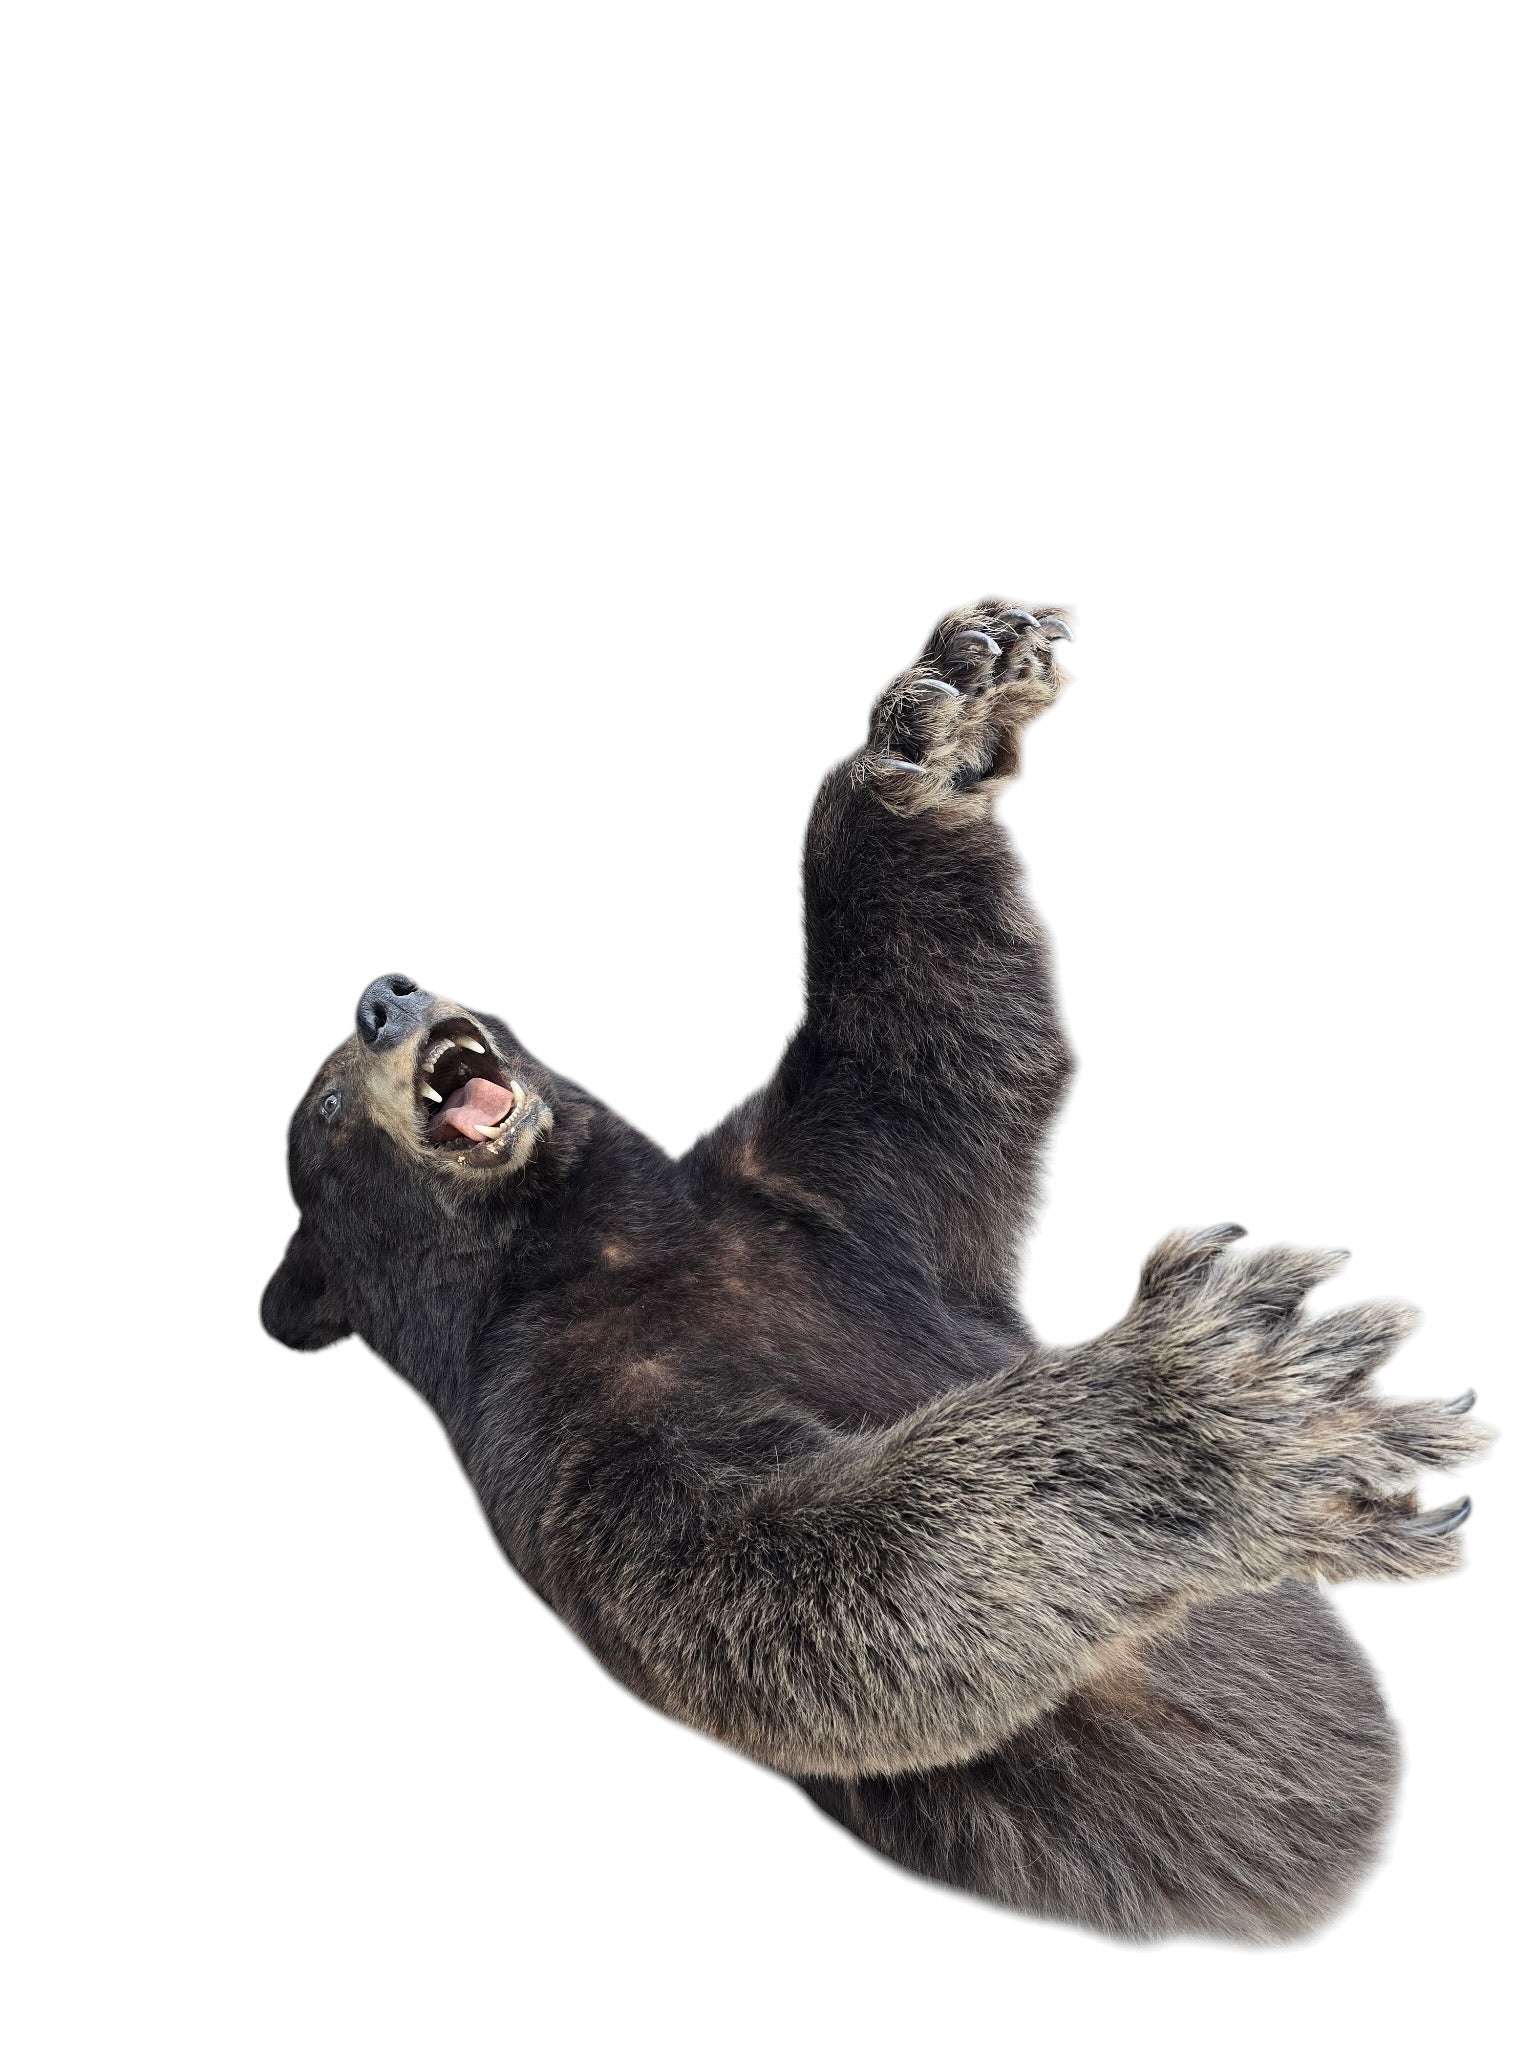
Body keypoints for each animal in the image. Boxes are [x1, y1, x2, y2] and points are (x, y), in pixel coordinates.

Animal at [263, 599, 1487, 1941]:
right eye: (323, 1105)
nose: (385, 993)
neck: (582, 1237)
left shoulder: (827, 1195)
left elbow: (935, 1041)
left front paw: (943, 714)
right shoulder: (555, 1422)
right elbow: (782, 1590)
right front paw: (1221, 1406)